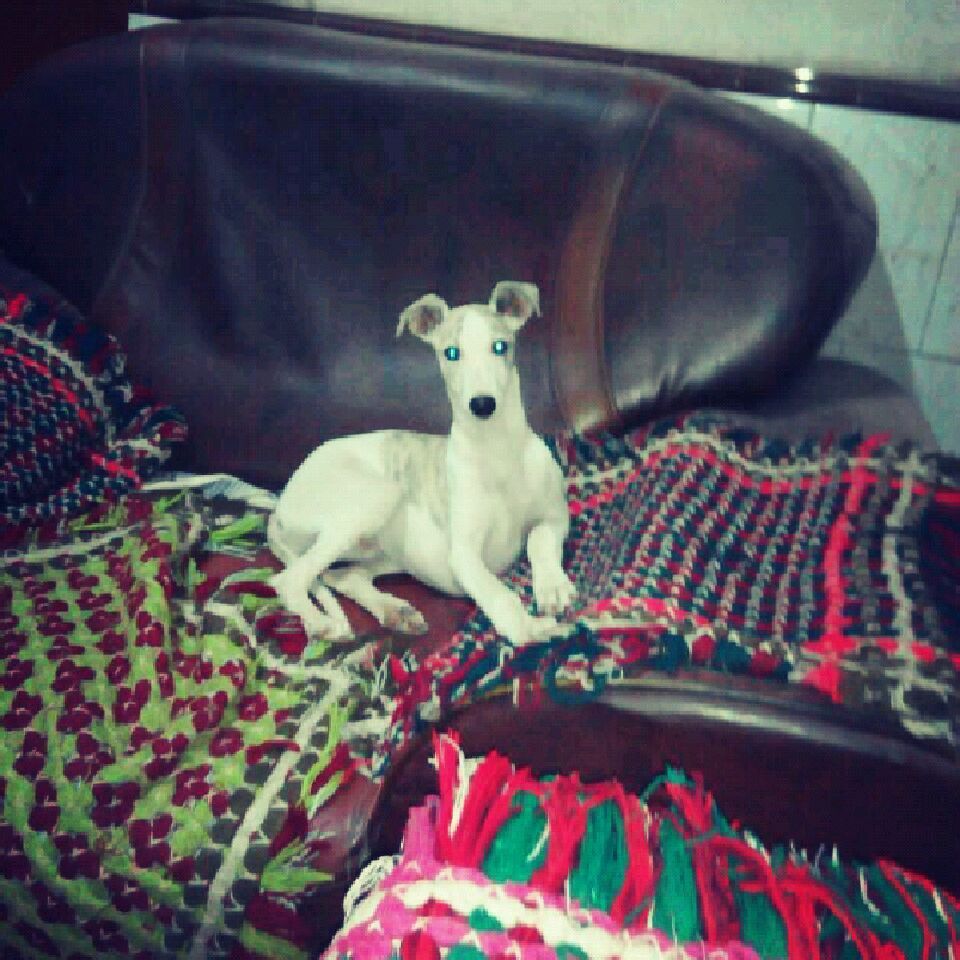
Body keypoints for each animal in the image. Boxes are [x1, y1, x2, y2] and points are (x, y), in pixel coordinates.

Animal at [268, 281, 576, 647]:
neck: (497, 450)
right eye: (451, 353)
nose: (482, 405)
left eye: (500, 346)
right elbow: (499, 594)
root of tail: (278, 507)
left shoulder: (555, 517)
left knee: (342, 575)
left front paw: (553, 587)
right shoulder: (464, 555)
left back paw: (393, 611)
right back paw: (320, 623)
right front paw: (531, 629)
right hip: (376, 497)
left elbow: (538, 540)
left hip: (385, 550)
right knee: (288, 580)